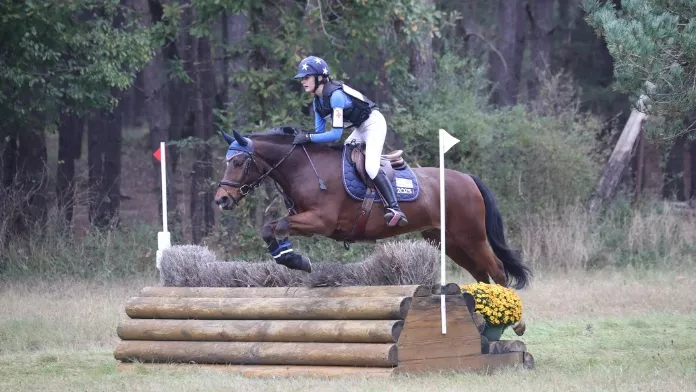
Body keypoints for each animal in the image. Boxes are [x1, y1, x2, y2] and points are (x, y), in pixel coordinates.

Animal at [215, 125, 532, 290]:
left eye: (239, 162)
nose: (221, 199)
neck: (303, 168)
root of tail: (468, 178)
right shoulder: (305, 220)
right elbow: (269, 228)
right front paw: (288, 257)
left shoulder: (321, 221)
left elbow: (278, 225)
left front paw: (296, 260)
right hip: (447, 240)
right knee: (480, 272)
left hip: (471, 236)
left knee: (497, 270)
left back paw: (511, 322)